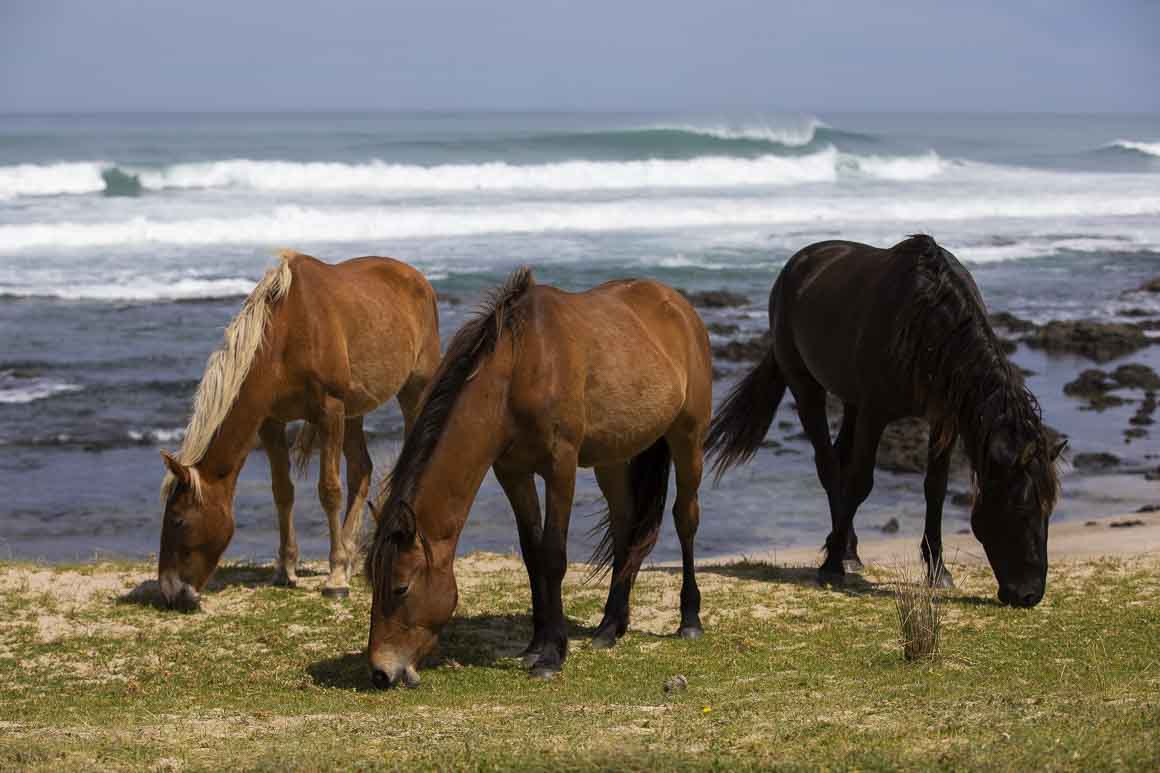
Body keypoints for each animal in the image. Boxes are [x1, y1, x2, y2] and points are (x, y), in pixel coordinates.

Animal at [158, 251, 441, 610]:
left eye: (178, 520)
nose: (169, 592)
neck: (288, 332)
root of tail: (417, 278)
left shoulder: (329, 410)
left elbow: (329, 491)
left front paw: (335, 578)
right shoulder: (271, 422)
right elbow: (283, 491)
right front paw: (286, 569)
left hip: (413, 389)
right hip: (353, 411)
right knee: (360, 469)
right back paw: (350, 554)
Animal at [364, 268, 712, 687]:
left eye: (401, 587)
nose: (381, 671)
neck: (518, 369)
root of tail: (679, 306)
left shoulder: (560, 466)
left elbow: (553, 555)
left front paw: (552, 655)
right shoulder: (512, 471)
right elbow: (531, 553)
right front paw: (535, 644)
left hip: (688, 438)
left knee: (686, 518)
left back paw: (689, 620)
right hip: (613, 457)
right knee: (624, 525)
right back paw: (610, 627)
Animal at [706, 235, 1064, 607]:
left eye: (1049, 511)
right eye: (1021, 508)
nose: (1029, 594)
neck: (928, 325)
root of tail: (798, 264)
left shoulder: (943, 420)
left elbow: (935, 488)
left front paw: (938, 571)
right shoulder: (874, 413)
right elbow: (861, 483)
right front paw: (830, 566)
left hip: (849, 399)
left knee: (839, 458)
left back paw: (849, 549)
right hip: (806, 386)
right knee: (828, 465)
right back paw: (842, 554)